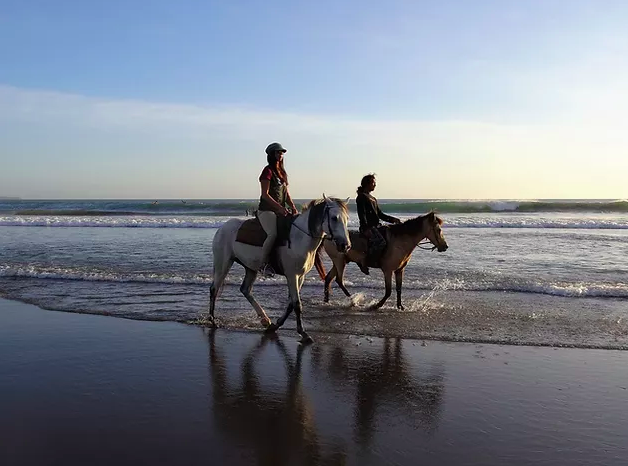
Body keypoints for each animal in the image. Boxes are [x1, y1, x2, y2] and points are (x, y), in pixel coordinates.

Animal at [209, 195, 350, 344]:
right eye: (334, 218)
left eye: (347, 218)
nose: (345, 245)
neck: (300, 238)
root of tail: (222, 228)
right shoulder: (292, 275)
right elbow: (297, 304)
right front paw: (303, 332)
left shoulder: (300, 276)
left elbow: (291, 304)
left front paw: (277, 325)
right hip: (223, 263)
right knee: (214, 288)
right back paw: (212, 320)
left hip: (250, 267)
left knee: (245, 290)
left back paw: (265, 320)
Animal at [316, 214, 448, 310]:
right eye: (438, 229)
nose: (445, 246)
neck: (400, 242)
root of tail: (327, 236)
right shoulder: (388, 271)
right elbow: (388, 291)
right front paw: (377, 305)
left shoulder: (399, 270)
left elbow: (399, 289)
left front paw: (400, 306)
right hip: (339, 261)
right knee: (339, 280)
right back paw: (353, 300)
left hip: (339, 261)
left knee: (328, 278)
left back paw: (327, 301)